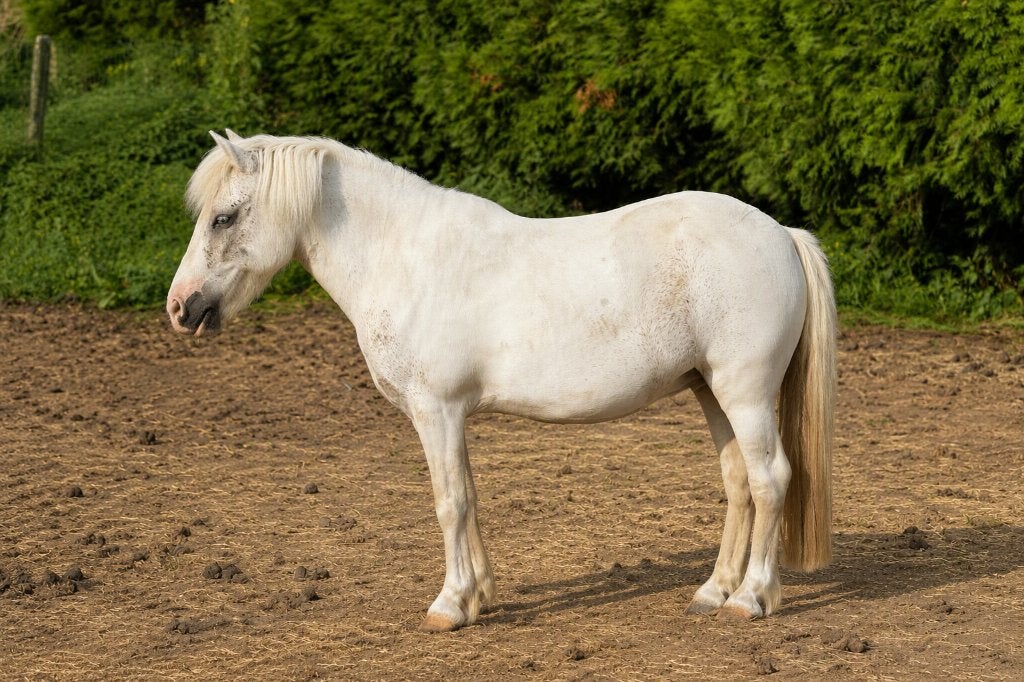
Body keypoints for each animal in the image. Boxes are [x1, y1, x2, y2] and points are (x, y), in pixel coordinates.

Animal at [167, 130, 837, 632]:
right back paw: (712, 591)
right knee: (739, 483)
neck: (406, 256)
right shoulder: (450, 415)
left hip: (745, 393)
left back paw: (751, 598)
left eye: (224, 217)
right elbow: (468, 496)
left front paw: (448, 606)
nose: (179, 307)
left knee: (770, 480)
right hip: (711, 391)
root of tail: (781, 234)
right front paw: (479, 594)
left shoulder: (435, 410)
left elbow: (449, 502)